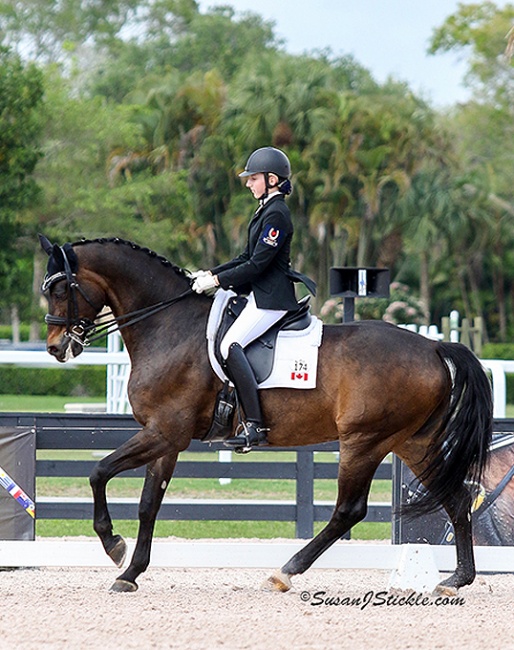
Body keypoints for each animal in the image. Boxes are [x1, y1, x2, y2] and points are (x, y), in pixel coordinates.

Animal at [38, 234, 490, 592]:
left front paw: (113, 546)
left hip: (364, 441)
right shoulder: (165, 438)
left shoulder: (165, 432)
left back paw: (285, 572)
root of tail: (434, 347)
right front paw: (130, 572)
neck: (168, 325)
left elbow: (98, 472)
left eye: (61, 288)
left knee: (349, 510)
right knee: (455, 497)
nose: (57, 348)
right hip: (414, 443)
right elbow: (149, 503)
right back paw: (457, 580)